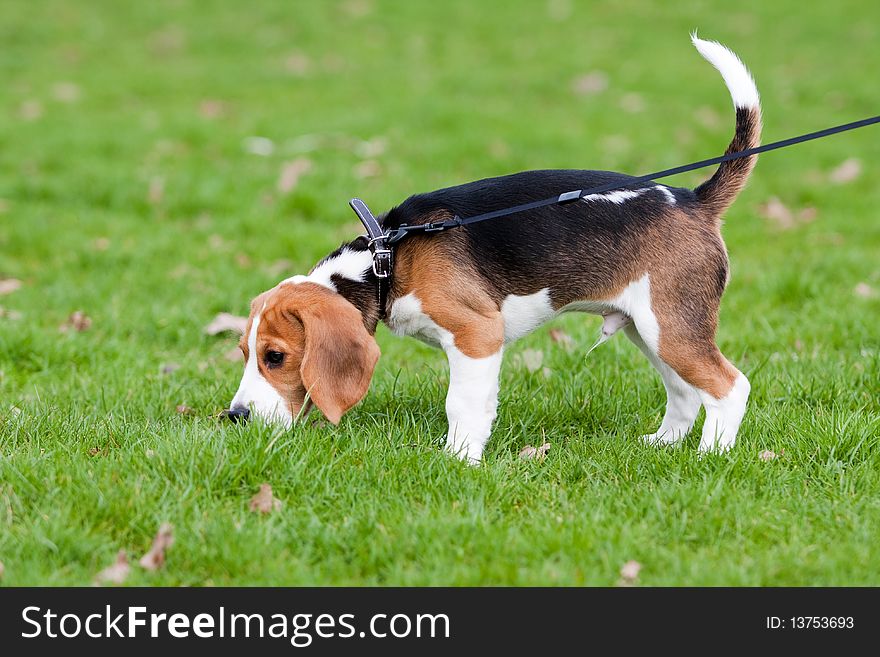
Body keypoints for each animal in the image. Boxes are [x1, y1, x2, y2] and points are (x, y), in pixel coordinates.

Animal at [230, 36, 760, 462]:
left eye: (275, 356)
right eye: (244, 352)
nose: (235, 416)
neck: (388, 260)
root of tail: (692, 199)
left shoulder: (476, 334)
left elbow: (460, 403)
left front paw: (458, 459)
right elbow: (477, 404)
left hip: (670, 327)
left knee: (730, 386)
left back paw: (711, 455)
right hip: (649, 329)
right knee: (686, 392)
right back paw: (664, 445)